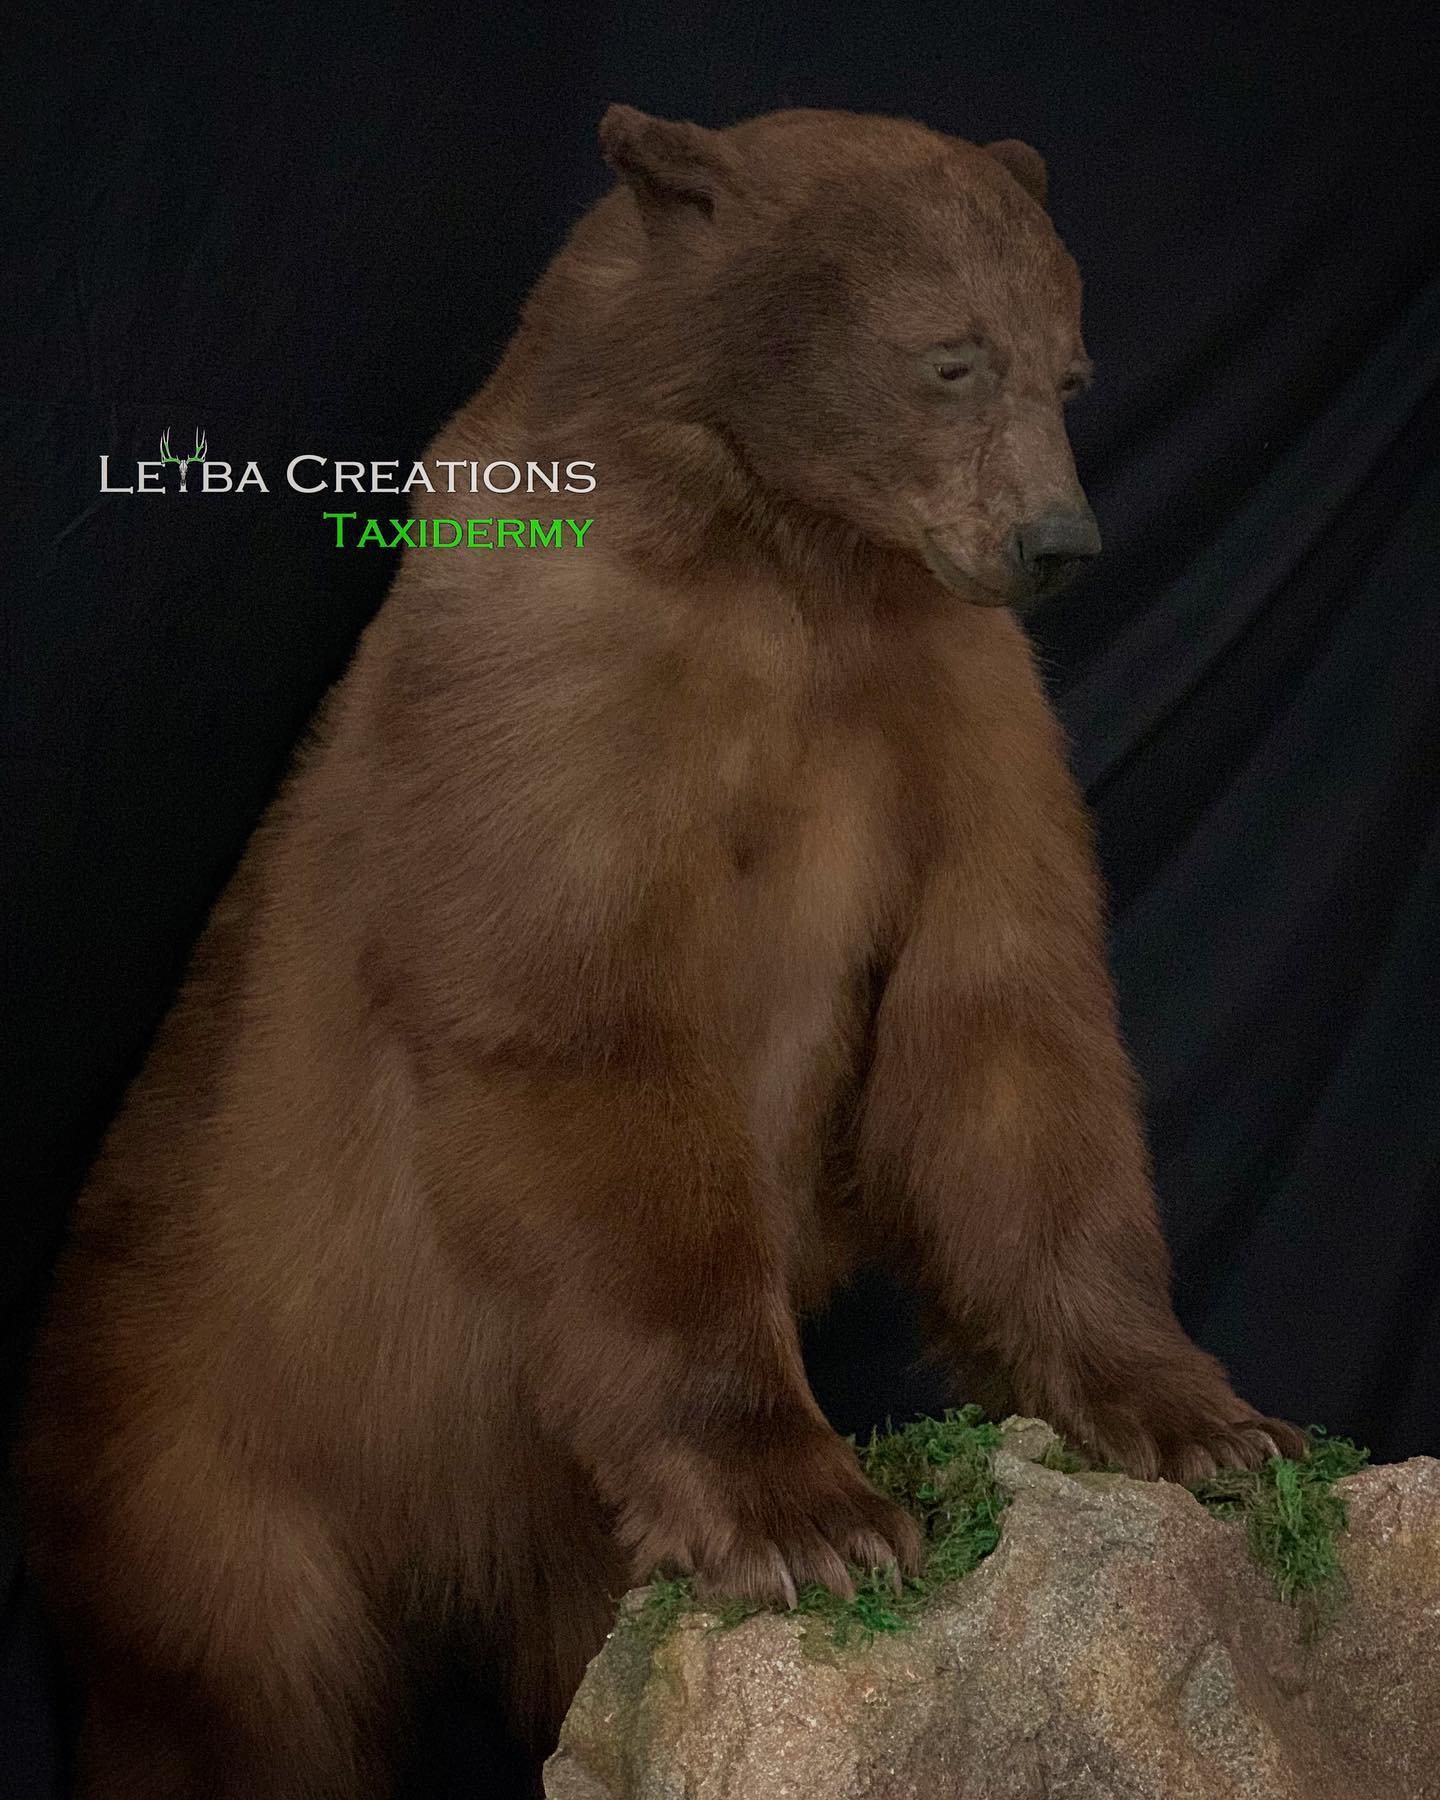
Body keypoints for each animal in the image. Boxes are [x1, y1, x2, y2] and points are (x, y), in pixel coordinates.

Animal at [20, 104, 1304, 1800]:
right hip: (212, 1444)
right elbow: (581, 1033)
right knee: (241, 1693)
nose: (1058, 541)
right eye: (953, 360)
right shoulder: (553, 681)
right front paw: (813, 1517)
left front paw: (1201, 1419)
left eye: (1072, 369)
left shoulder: (950, 700)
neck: (790, 555)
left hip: (557, 1526)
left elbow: (1000, 1021)